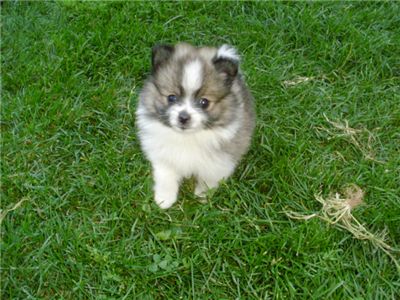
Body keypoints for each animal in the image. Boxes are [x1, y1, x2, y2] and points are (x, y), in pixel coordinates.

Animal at [136, 42, 255, 209]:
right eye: (171, 97)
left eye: (204, 102)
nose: (183, 117)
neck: (187, 137)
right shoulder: (164, 156)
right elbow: (166, 176)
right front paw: (164, 199)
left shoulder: (219, 160)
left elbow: (208, 178)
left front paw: (202, 196)